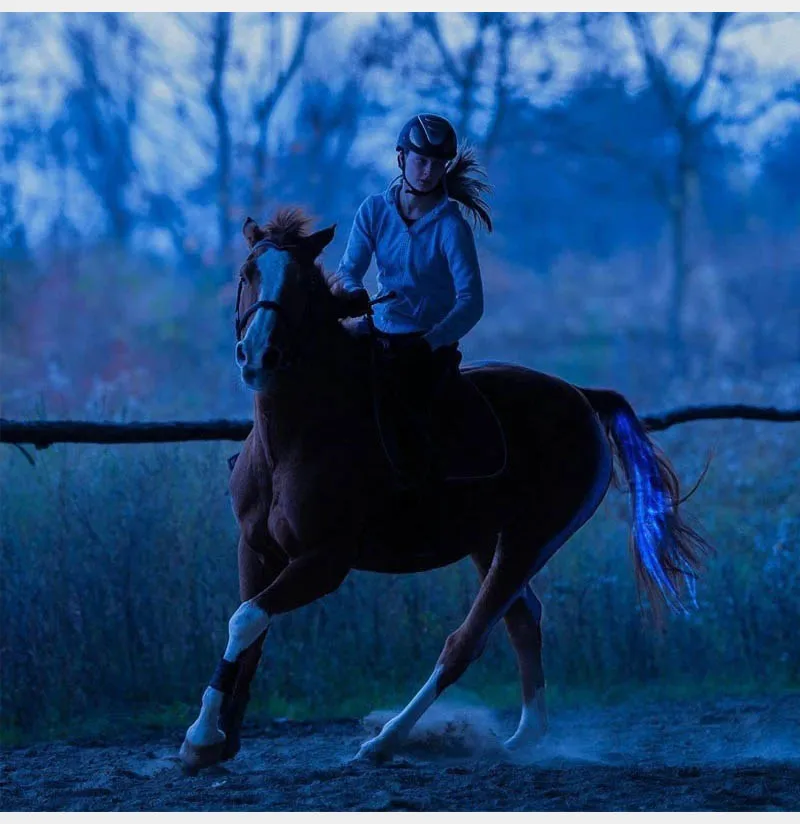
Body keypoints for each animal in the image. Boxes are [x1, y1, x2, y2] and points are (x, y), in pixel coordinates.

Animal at [178, 209, 708, 768]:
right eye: (246, 274)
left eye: (301, 285)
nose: (259, 355)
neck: (295, 436)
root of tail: (583, 397)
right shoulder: (256, 548)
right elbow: (249, 629)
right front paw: (216, 738)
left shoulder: (324, 561)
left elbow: (246, 619)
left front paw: (202, 736)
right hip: (489, 542)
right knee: (522, 620)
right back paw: (522, 738)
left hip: (530, 539)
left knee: (467, 640)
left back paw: (386, 741)